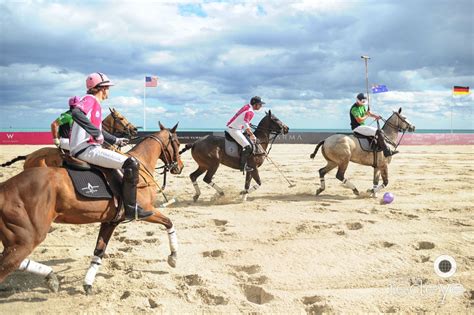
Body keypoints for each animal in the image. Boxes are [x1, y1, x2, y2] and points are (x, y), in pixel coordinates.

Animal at [0, 122, 183, 296]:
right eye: (178, 143)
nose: (179, 167)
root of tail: (4, 189)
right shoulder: (147, 211)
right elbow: (169, 222)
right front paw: (173, 257)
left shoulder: (110, 221)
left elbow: (99, 252)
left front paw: (88, 283)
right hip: (27, 238)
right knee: (8, 264)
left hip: (16, 239)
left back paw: (50, 276)